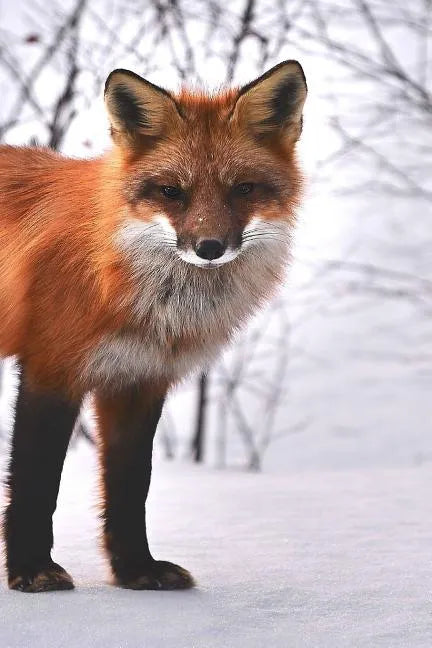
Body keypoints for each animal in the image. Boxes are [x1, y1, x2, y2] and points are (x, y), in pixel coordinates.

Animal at [0, 61, 307, 592]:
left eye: (242, 189)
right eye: (171, 192)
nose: (209, 247)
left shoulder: (138, 379)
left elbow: (130, 488)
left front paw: (136, 570)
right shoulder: (50, 368)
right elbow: (36, 482)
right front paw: (32, 569)